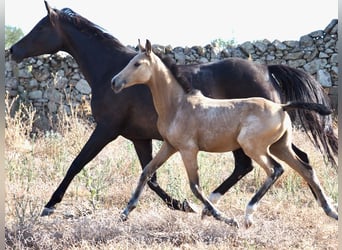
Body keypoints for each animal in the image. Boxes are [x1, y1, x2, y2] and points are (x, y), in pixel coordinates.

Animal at [10, 1, 336, 217]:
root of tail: (267, 69)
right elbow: (149, 176)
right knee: (288, 160)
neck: (109, 70)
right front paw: (180, 204)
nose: (13, 50)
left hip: (248, 140)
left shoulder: (106, 129)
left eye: (40, 26)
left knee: (260, 164)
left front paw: (49, 205)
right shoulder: (139, 137)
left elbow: (76, 164)